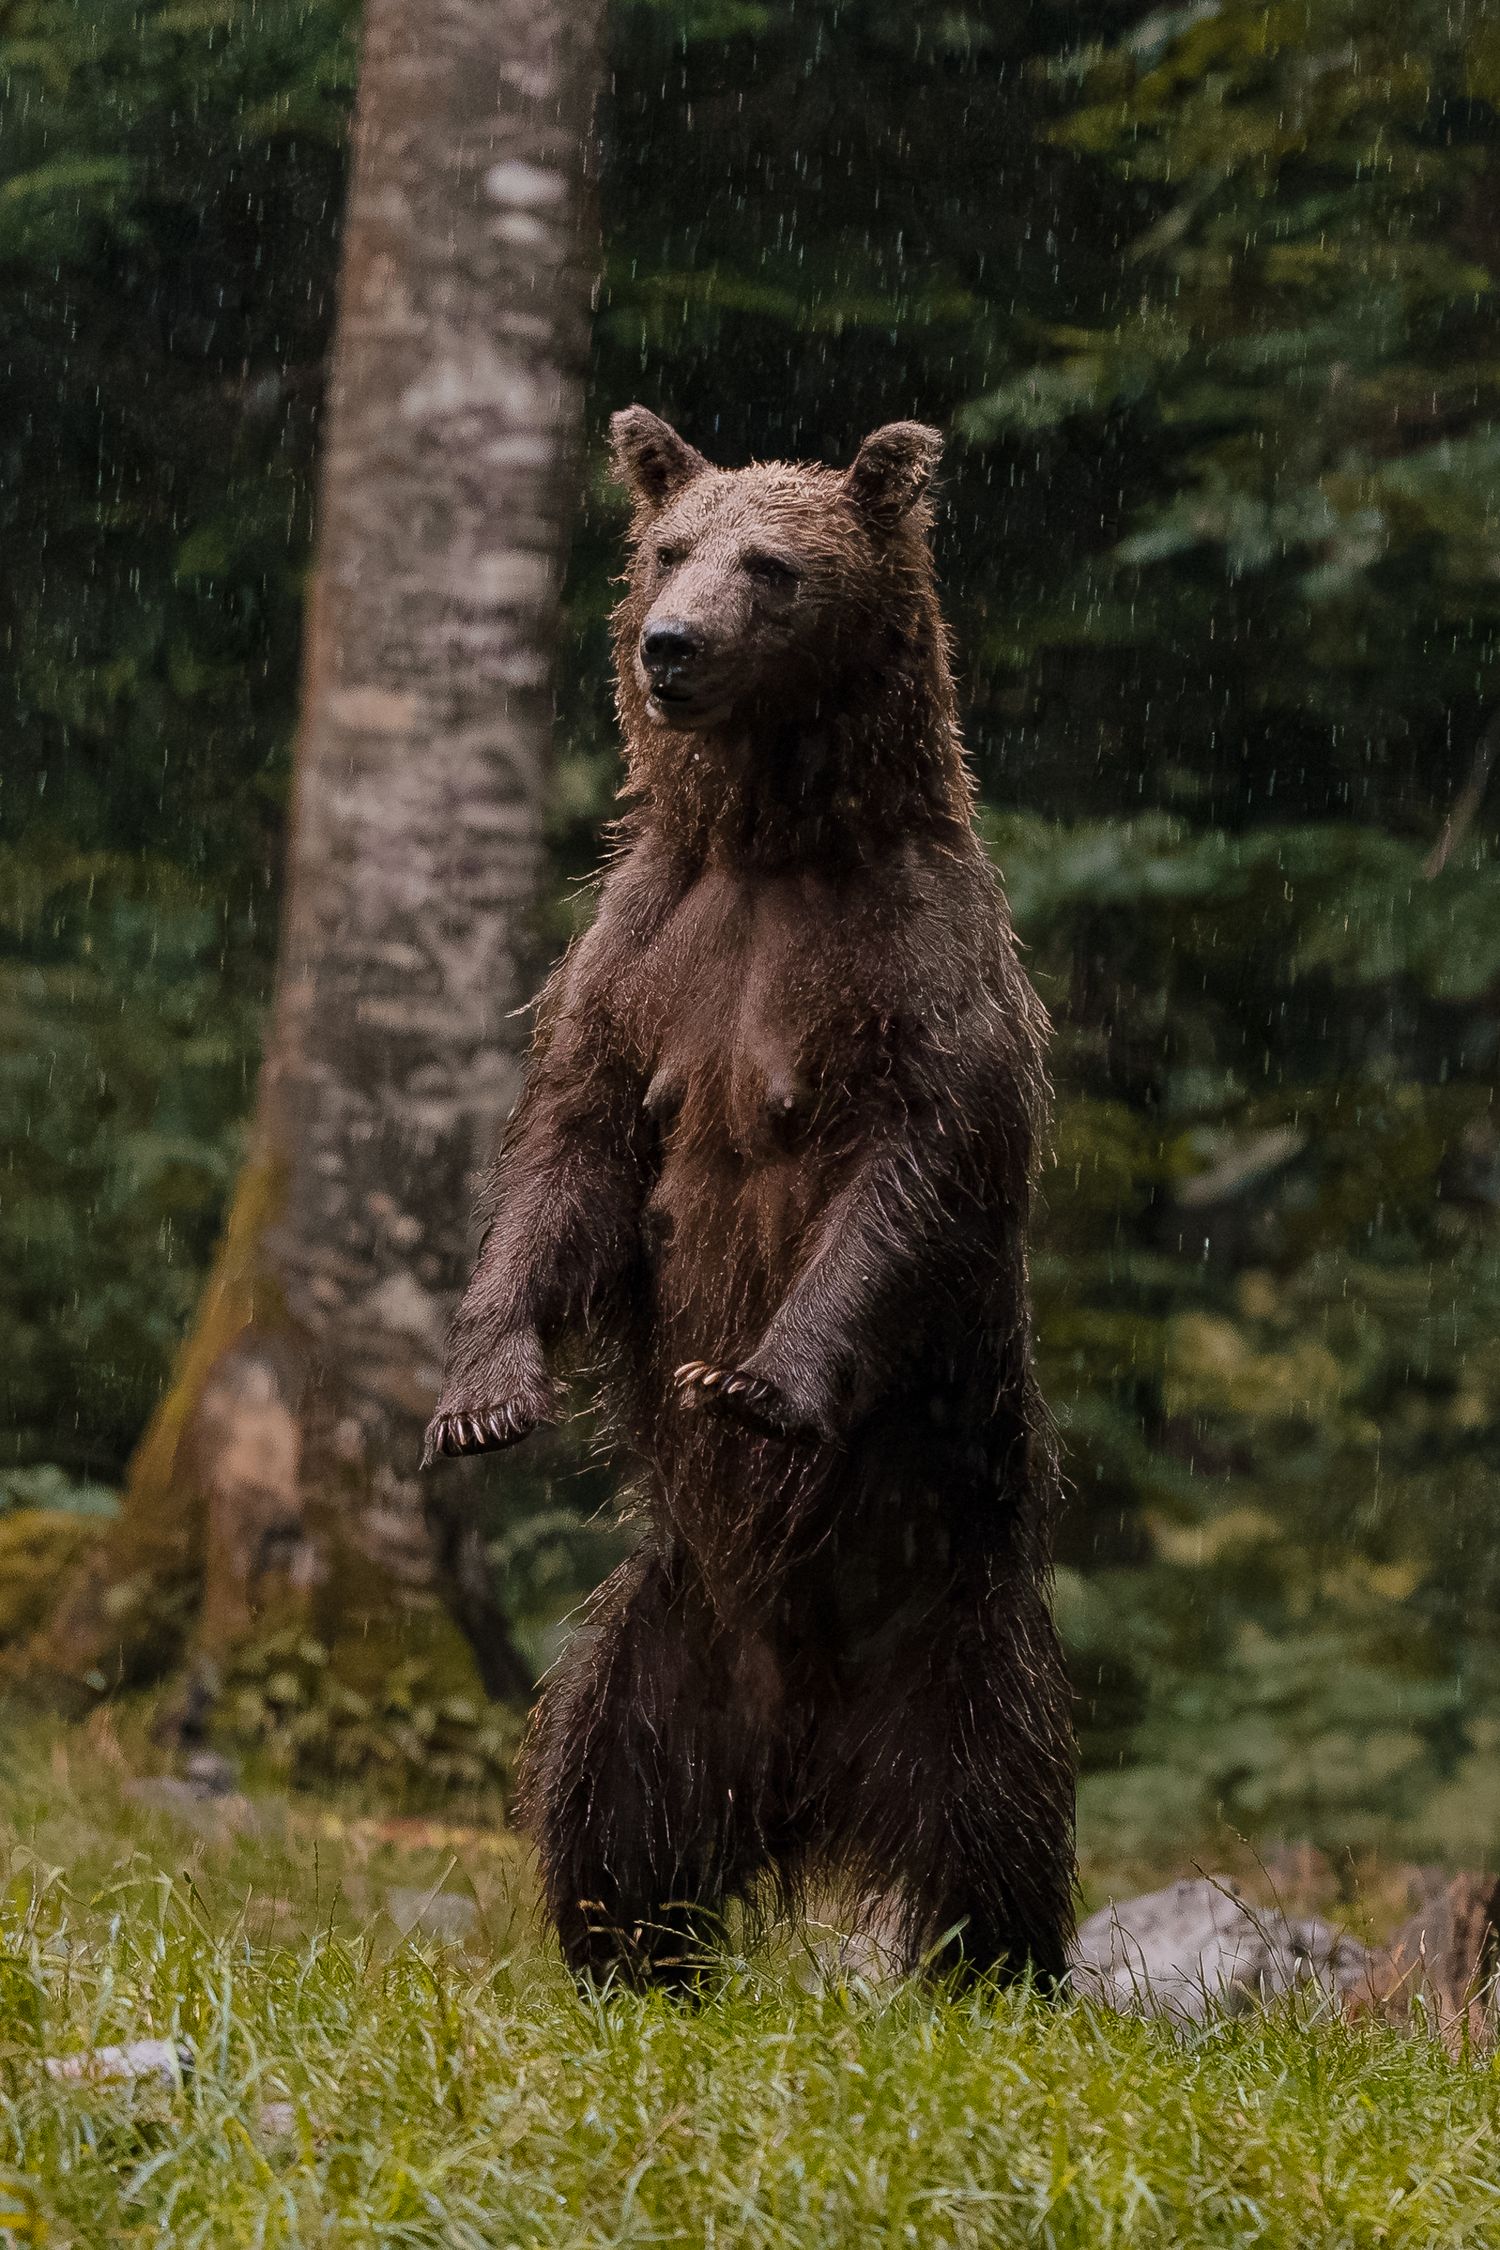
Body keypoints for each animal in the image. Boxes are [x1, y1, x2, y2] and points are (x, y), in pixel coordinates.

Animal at [423, 407, 1076, 1988]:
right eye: (671, 546)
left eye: (773, 563)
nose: (670, 646)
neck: (776, 843)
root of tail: (809, 1782)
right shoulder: (635, 959)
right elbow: (571, 1159)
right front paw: (482, 1396)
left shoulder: (915, 972)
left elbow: (905, 1180)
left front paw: (760, 1385)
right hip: (671, 1638)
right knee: (605, 1792)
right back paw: (632, 1958)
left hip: (949, 1626)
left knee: (993, 1811)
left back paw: (995, 1968)